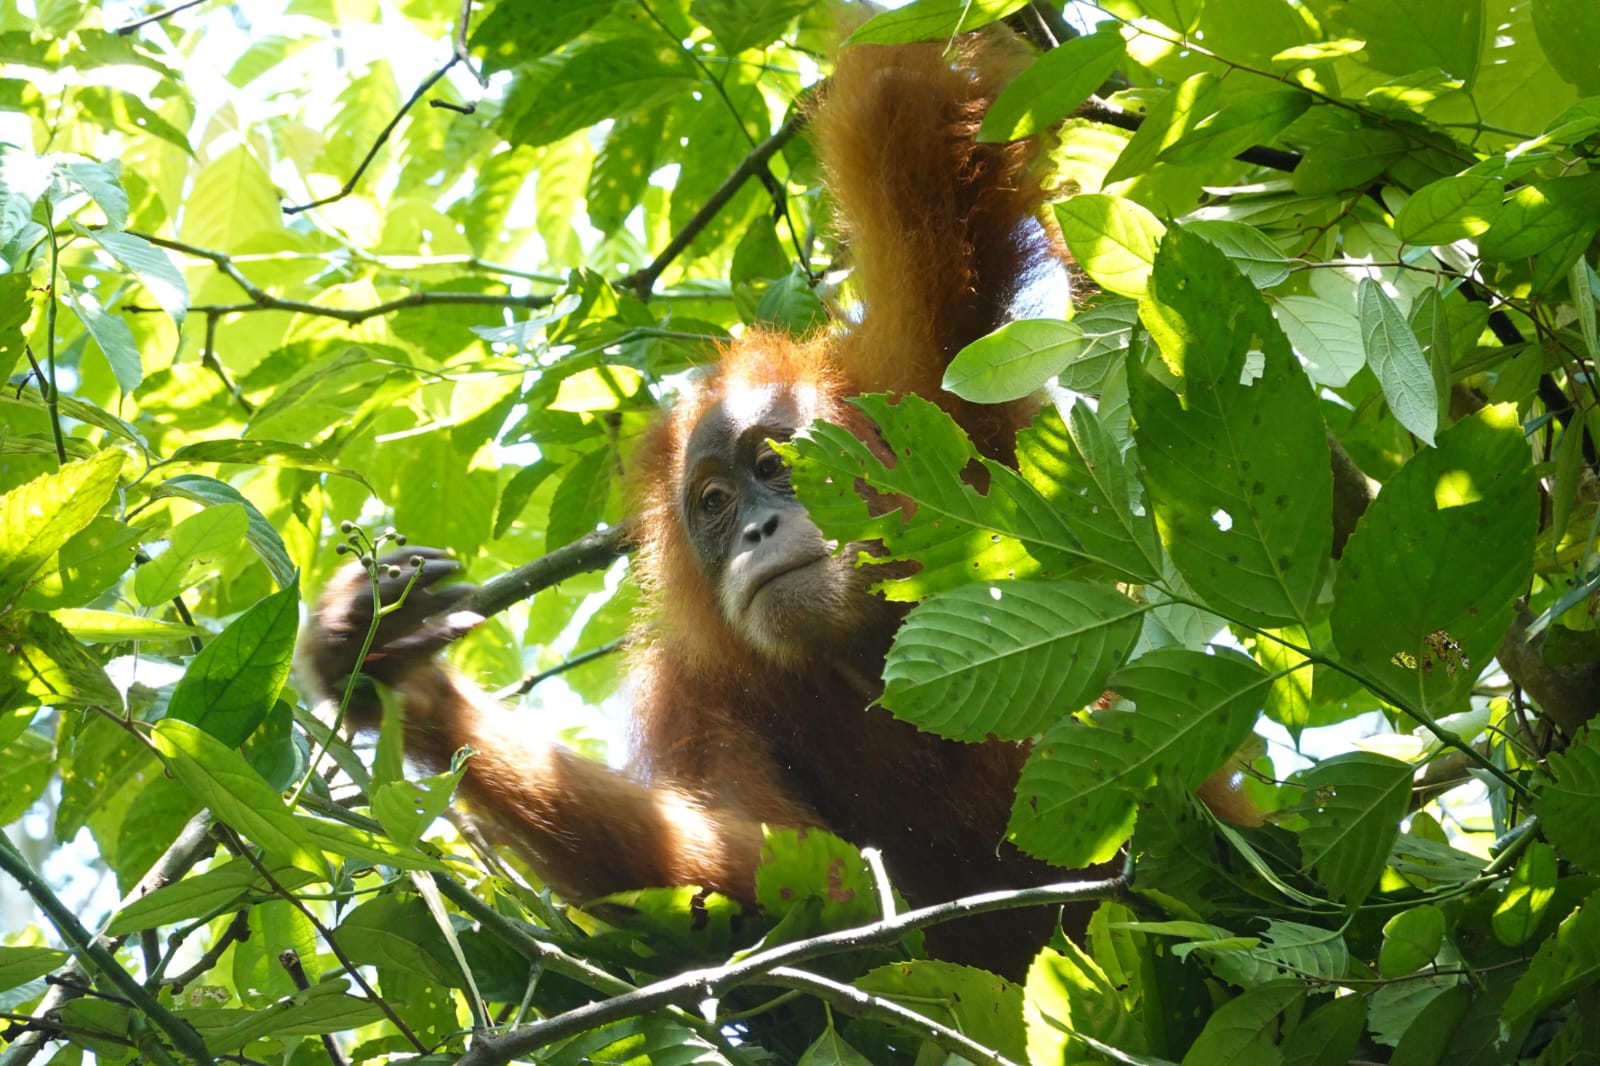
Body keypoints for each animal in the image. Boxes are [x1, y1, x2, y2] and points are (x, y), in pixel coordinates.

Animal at [305, 35, 1116, 977]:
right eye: (717, 503)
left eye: (776, 465)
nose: (758, 527)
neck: (865, 645)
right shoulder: (694, 698)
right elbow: (798, 885)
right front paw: (399, 677)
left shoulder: (934, 375)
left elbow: (907, 130)